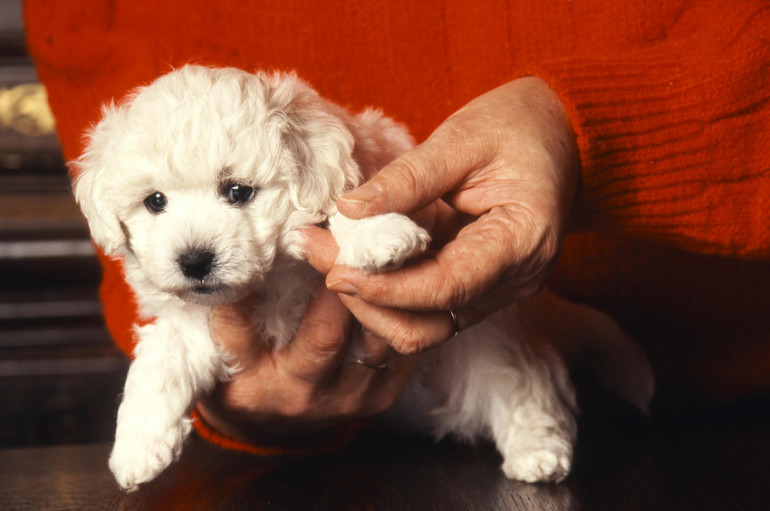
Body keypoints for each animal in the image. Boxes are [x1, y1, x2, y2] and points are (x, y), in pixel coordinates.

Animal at [72, 65, 652, 492]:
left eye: (238, 192)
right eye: (154, 202)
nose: (194, 261)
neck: (270, 281)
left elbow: (339, 206)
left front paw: (375, 234)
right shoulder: (193, 319)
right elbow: (161, 359)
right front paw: (137, 447)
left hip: (495, 340)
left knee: (527, 383)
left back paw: (539, 452)